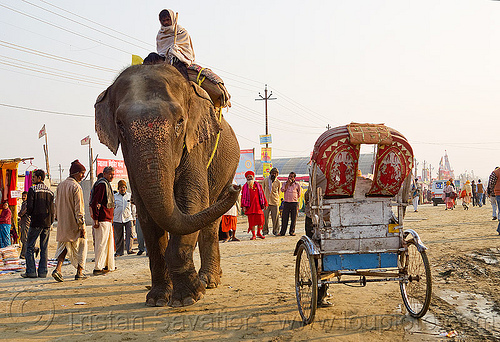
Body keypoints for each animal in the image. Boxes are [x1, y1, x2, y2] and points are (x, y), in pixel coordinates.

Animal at [95, 61, 242, 308]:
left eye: (180, 122)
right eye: (120, 125)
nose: (237, 188)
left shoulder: (194, 146)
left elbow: (192, 201)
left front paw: (188, 297)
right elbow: (146, 213)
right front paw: (157, 299)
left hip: (228, 168)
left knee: (210, 219)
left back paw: (209, 280)